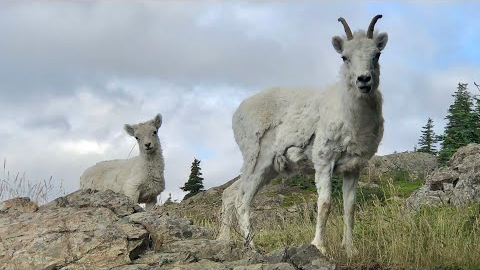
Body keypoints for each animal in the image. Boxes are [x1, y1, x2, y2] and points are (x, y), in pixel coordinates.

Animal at [219, 15, 388, 258]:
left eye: (377, 54)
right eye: (344, 57)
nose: (363, 80)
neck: (351, 119)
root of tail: (238, 112)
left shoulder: (353, 168)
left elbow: (350, 208)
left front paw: (351, 250)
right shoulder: (324, 161)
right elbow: (325, 204)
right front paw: (319, 247)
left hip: (266, 170)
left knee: (230, 194)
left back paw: (224, 241)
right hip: (257, 162)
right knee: (242, 200)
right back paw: (251, 246)